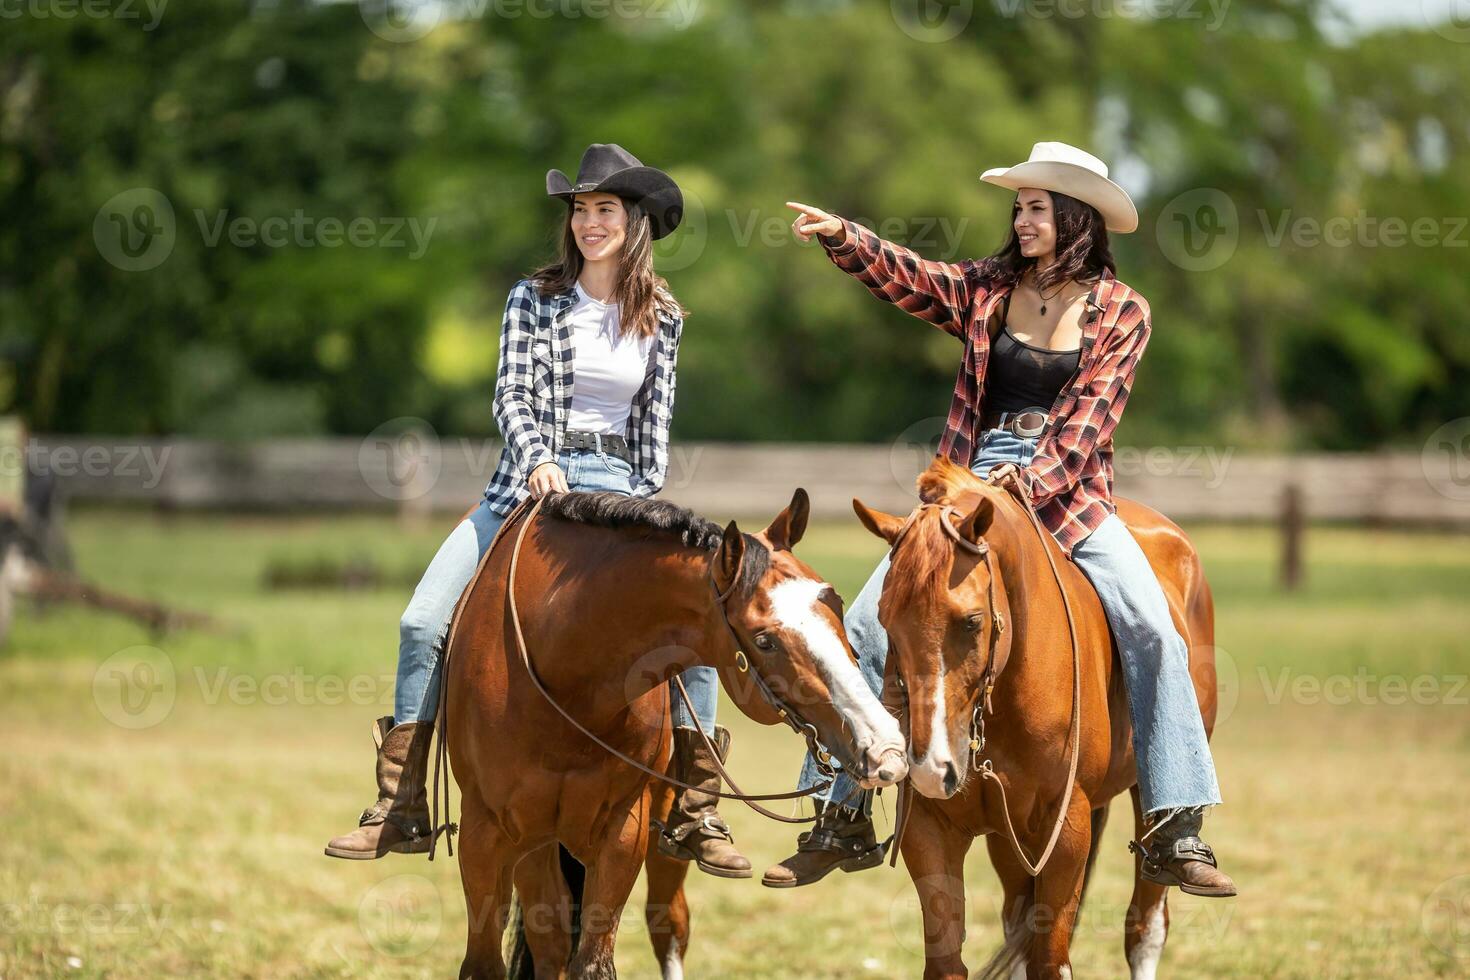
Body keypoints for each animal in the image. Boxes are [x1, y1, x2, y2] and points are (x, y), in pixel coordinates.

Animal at [441, 487, 911, 975]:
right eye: (765, 641)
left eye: (835, 603)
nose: (886, 747)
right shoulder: (484, 840)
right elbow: (485, 962)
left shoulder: (622, 834)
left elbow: (596, 960)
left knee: (666, 925)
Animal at [852, 458, 1217, 980]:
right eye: (885, 618)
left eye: (972, 621)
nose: (930, 768)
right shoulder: (932, 828)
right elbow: (948, 961)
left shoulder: (1066, 831)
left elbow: (1051, 961)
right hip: (1011, 841)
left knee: (1146, 926)